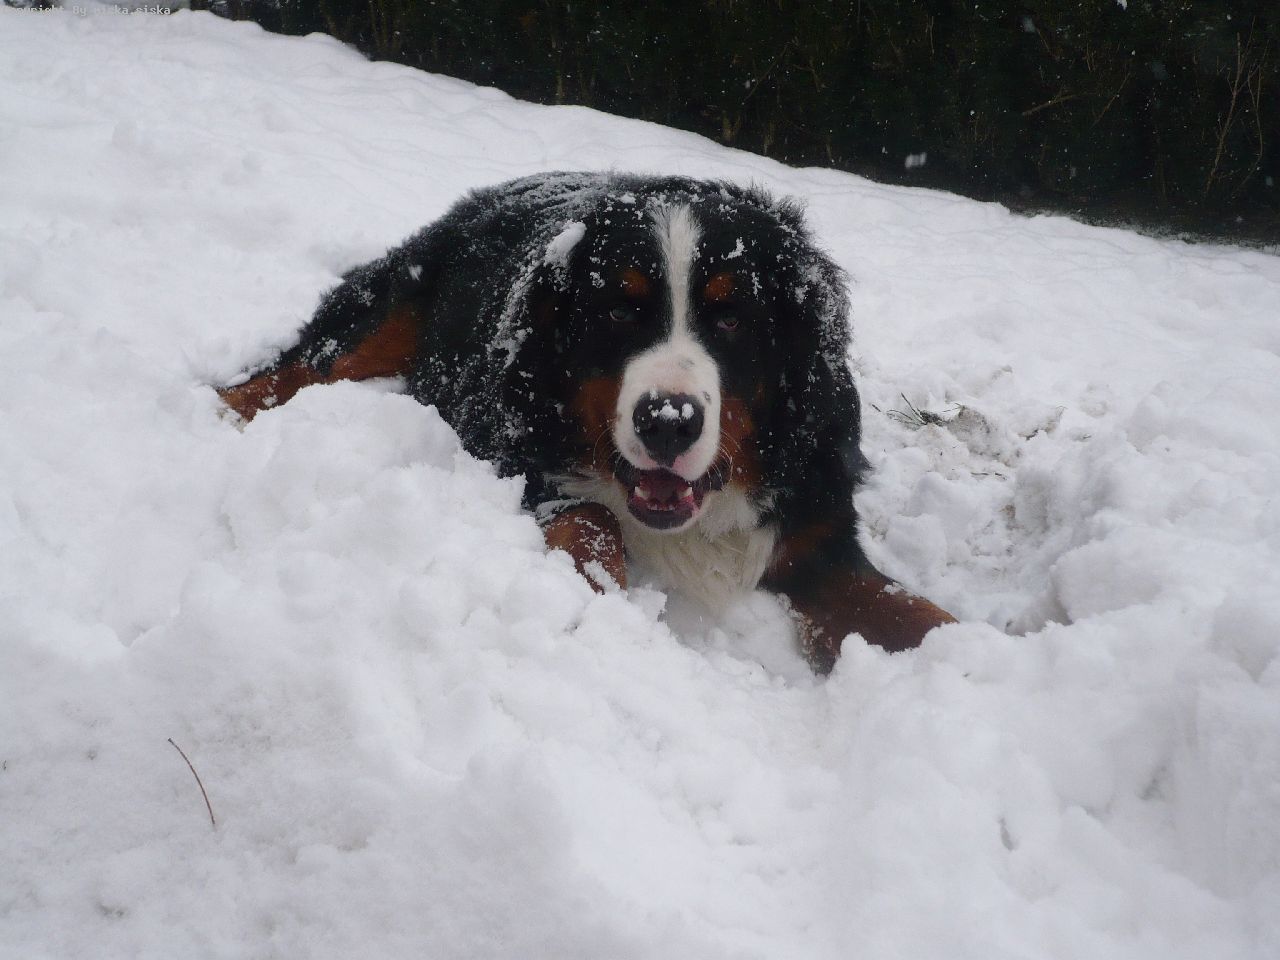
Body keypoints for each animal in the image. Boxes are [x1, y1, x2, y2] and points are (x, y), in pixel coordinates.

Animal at [218, 172, 955, 672]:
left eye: (732, 317)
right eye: (619, 311)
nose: (668, 422)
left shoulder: (816, 533)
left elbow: (912, 613)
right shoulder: (511, 461)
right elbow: (592, 517)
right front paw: (589, 599)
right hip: (388, 310)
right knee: (286, 372)